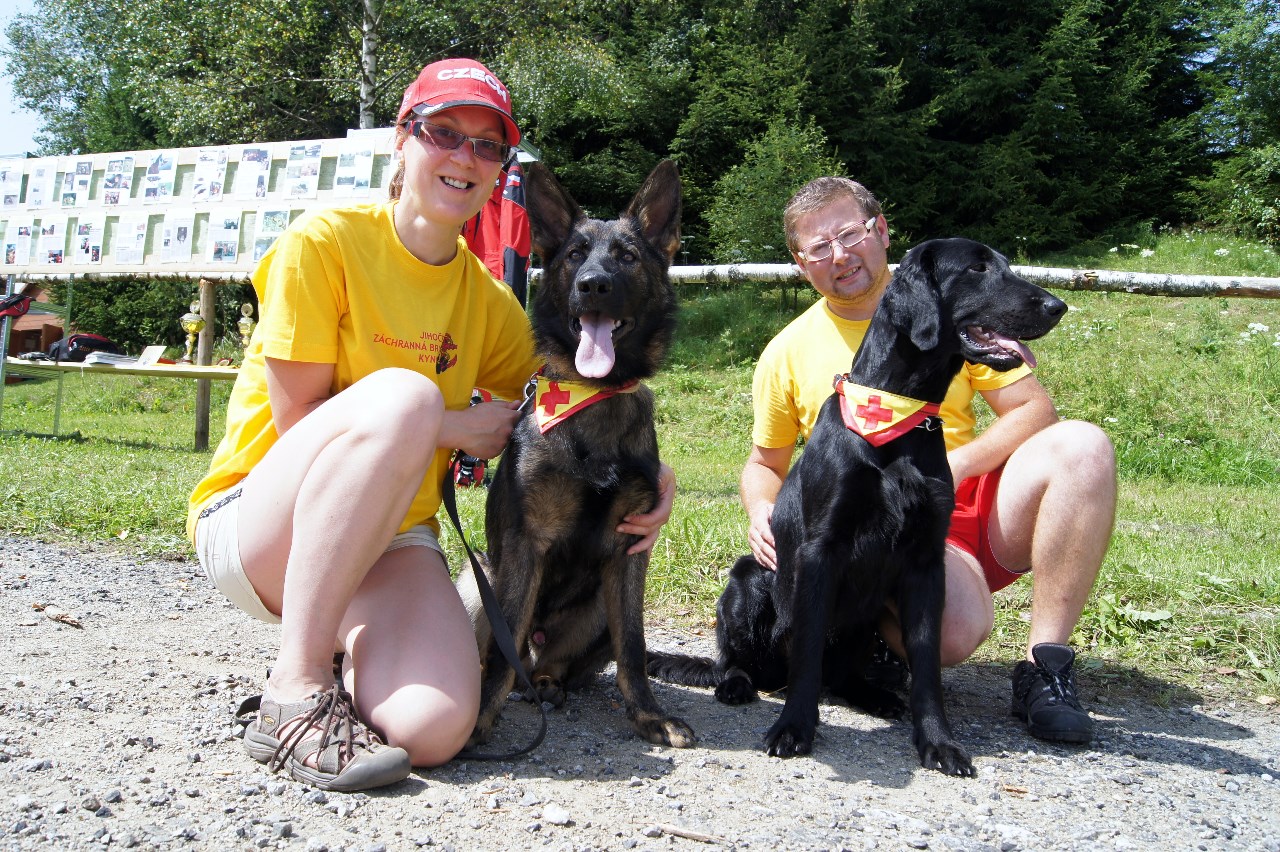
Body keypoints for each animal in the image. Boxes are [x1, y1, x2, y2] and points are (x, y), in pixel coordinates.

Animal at [460, 159, 695, 749]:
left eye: (627, 256)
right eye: (573, 255)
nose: (593, 285)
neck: (593, 397)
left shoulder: (629, 554)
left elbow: (634, 648)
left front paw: (648, 715)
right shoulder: (526, 544)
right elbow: (501, 652)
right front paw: (479, 719)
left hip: (595, 613)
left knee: (552, 664)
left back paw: (546, 684)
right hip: (477, 583)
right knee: (507, 652)